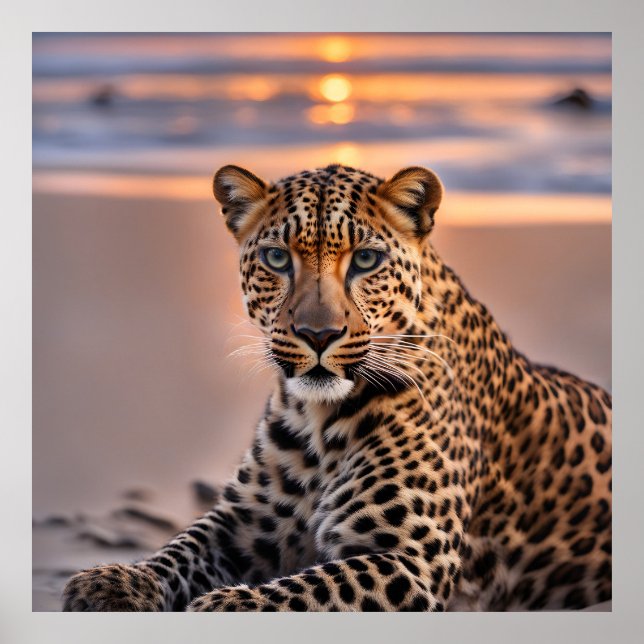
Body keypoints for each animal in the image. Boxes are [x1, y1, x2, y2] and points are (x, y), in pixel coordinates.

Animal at [63, 163, 611, 612]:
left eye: (366, 260)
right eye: (276, 258)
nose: (318, 334)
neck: (318, 419)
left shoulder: (407, 559)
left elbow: (298, 594)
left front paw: (222, 606)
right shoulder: (241, 525)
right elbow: (180, 548)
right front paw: (112, 582)